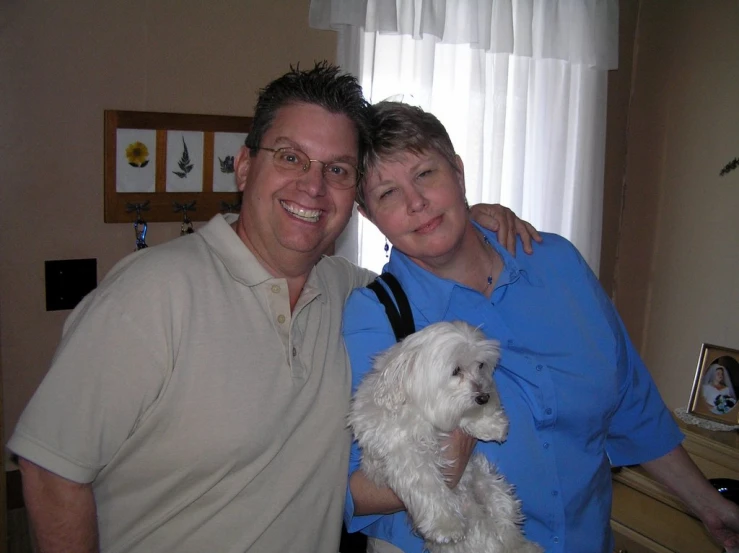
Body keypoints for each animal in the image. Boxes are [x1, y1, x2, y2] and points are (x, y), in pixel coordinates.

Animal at [346, 320, 544, 552]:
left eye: (480, 365)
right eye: (456, 370)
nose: (484, 397)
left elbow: (461, 416)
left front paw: (491, 424)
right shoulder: (404, 453)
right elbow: (426, 484)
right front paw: (446, 525)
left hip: (490, 483)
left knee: (505, 522)